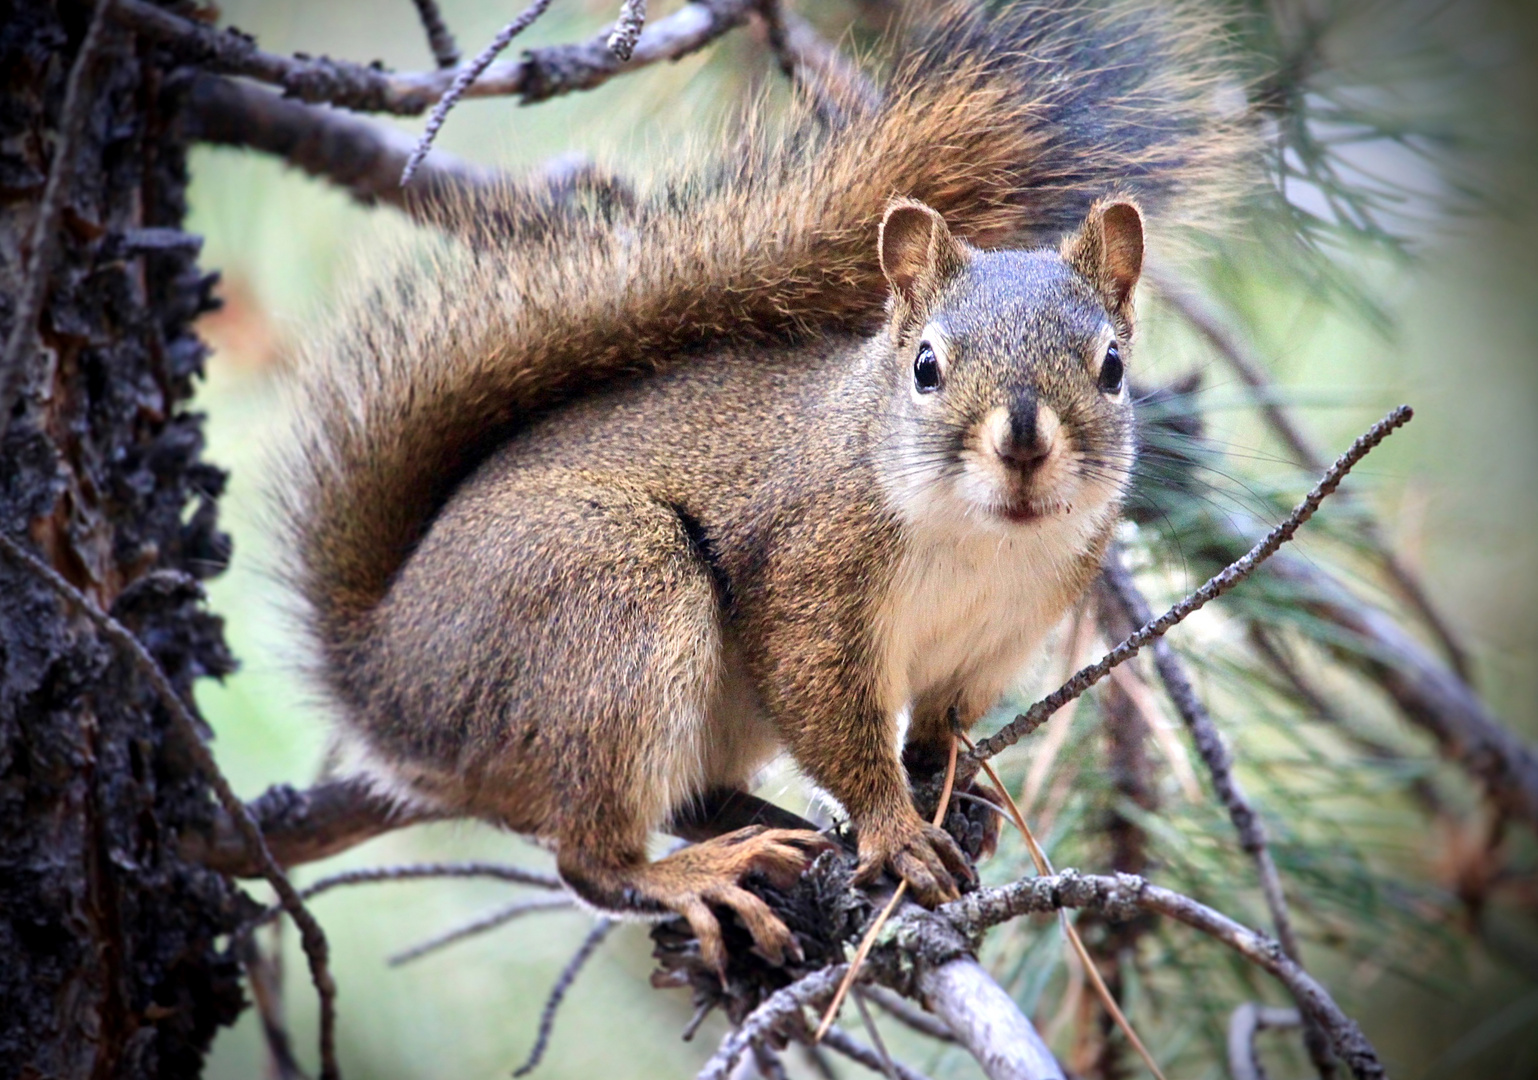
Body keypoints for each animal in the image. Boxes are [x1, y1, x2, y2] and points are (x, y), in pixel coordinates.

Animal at [279, 0, 1248, 966]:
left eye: (1113, 367)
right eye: (926, 365)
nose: (1021, 443)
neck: (982, 540)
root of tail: (390, 676)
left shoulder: (1002, 636)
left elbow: (945, 724)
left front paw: (957, 788)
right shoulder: (809, 578)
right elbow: (828, 712)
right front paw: (897, 830)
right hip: (609, 595)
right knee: (588, 856)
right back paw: (692, 875)